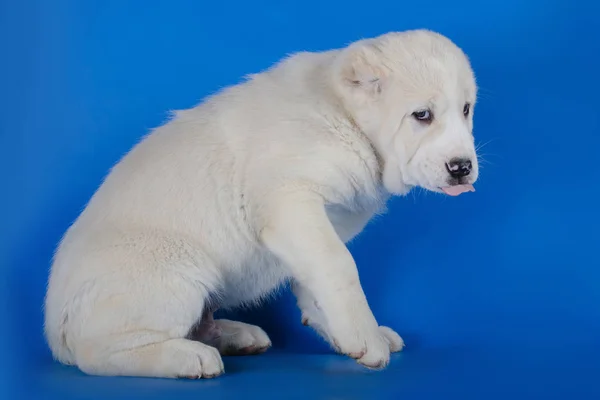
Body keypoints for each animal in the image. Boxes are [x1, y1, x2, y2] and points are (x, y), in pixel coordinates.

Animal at [44, 30, 480, 378]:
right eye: (421, 115)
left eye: (466, 110)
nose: (462, 168)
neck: (345, 118)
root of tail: (54, 332)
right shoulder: (291, 204)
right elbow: (340, 267)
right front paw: (365, 337)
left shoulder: (320, 224)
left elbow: (317, 280)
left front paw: (349, 333)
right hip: (177, 269)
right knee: (98, 354)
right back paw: (188, 358)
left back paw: (234, 335)